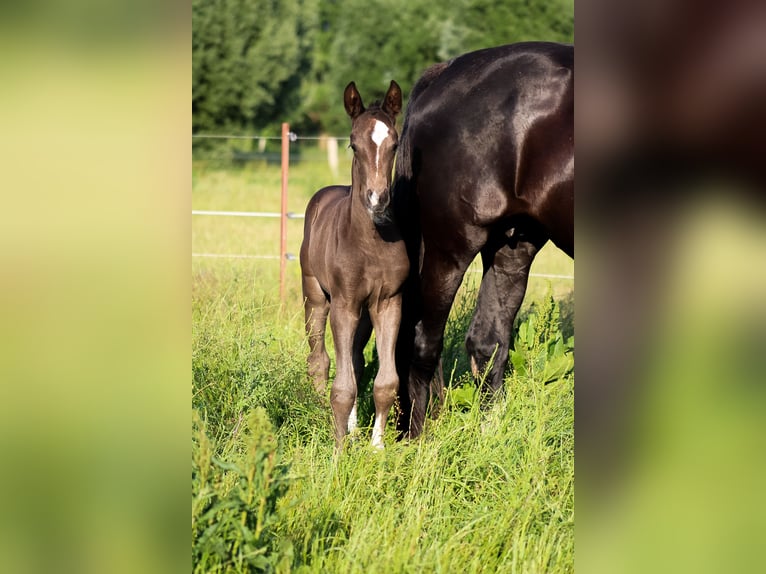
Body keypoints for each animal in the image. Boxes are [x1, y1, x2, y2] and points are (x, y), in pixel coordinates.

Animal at [300, 81, 412, 452]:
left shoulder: (388, 303)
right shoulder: (344, 304)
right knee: (320, 360)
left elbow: (385, 381)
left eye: (394, 143)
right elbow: (343, 385)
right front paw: (338, 451)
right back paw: (319, 410)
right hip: (316, 297)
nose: (377, 199)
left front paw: (377, 448)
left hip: (362, 313)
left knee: (356, 361)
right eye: (353, 144)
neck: (369, 243)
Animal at [396, 42, 576, 438]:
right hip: (451, 247)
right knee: (423, 340)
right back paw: (417, 439)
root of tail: (444, 74)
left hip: (513, 245)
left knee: (487, 342)